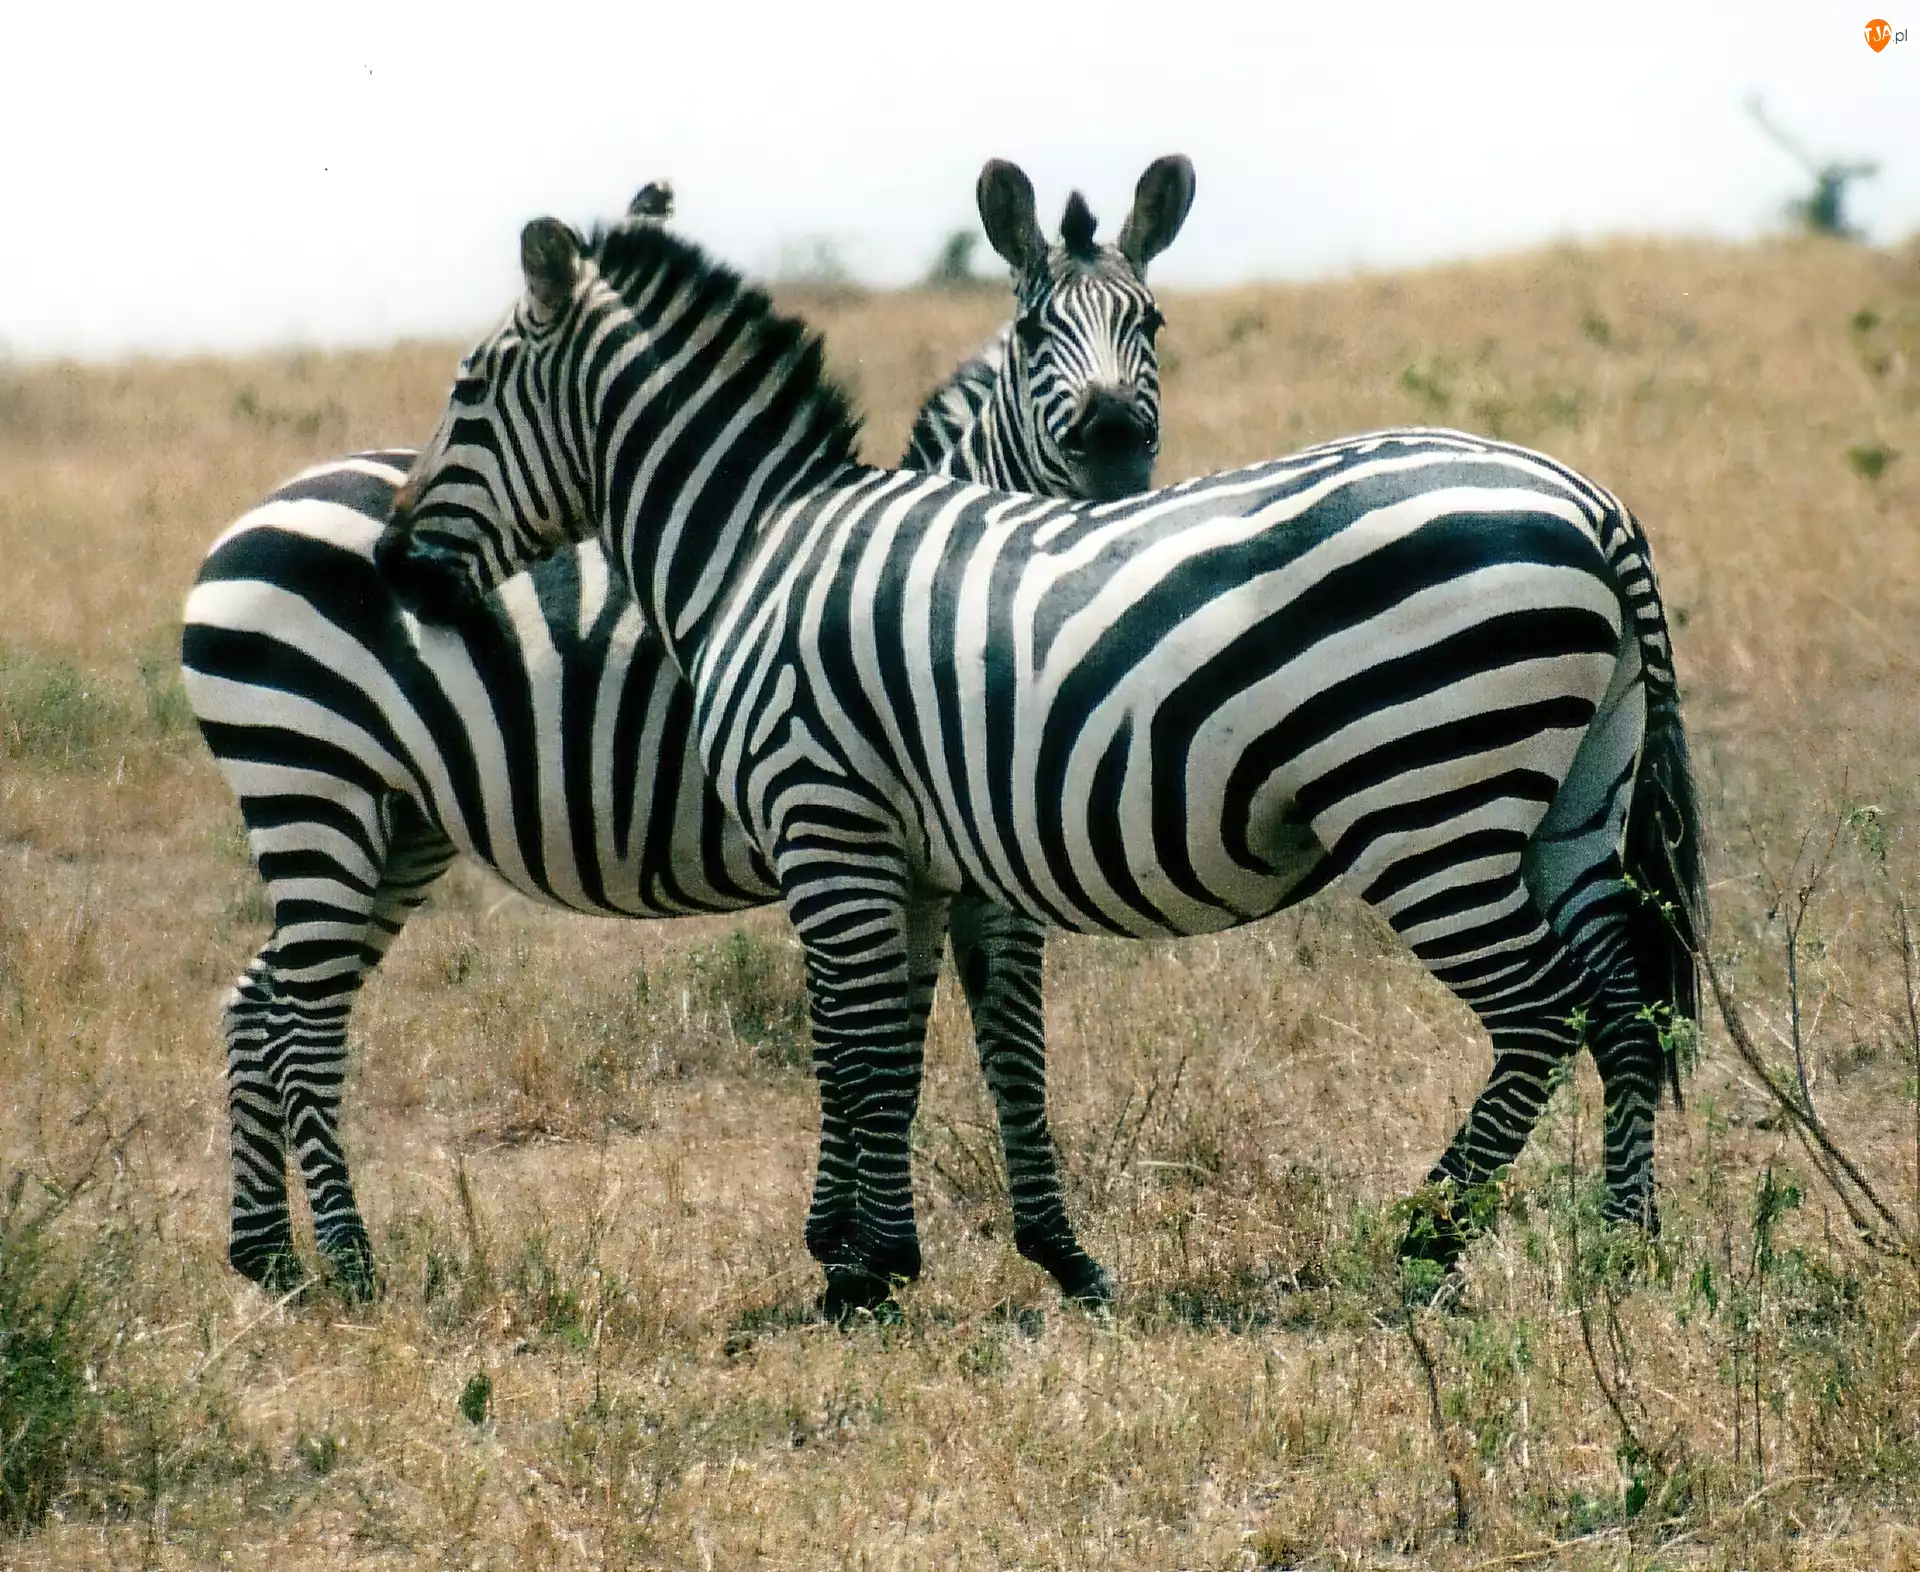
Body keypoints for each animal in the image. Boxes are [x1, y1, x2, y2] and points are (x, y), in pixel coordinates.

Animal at [182, 162, 1193, 1308]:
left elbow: (945, 1035)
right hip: (312, 783)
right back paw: (350, 1263)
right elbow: (917, 1037)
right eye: (1031, 334)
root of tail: (251, 513)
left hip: (396, 824)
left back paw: (267, 1251)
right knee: (304, 1019)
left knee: (261, 1000)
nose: (1115, 445)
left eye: (1153, 322)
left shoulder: (914, 850)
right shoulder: (889, 836)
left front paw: (997, 1248)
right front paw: (880, 1249)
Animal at [376, 197, 1704, 1315]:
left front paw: (857, 1275)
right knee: (1626, 1007)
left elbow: (851, 1049)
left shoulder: (823, 821)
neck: (756, 546)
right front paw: (880, 1252)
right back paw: (1624, 1245)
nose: (390, 567)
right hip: (1571, 806)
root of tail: (1588, 501)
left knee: (1541, 1012)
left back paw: (1427, 1241)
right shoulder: (908, 857)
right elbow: (897, 1050)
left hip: (1425, 798)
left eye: (468, 390)